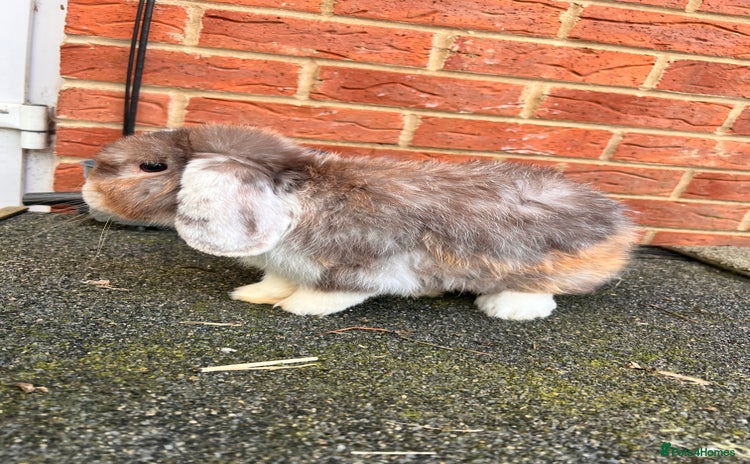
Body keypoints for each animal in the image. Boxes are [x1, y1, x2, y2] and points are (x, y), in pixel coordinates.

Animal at [82, 124, 637, 320]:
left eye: (151, 166)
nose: (86, 178)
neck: (294, 197)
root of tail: (621, 225)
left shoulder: (360, 265)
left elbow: (331, 294)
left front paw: (297, 309)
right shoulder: (283, 261)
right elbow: (275, 279)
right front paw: (255, 296)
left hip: (532, 266)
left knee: (538, 292)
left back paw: (507, 309)